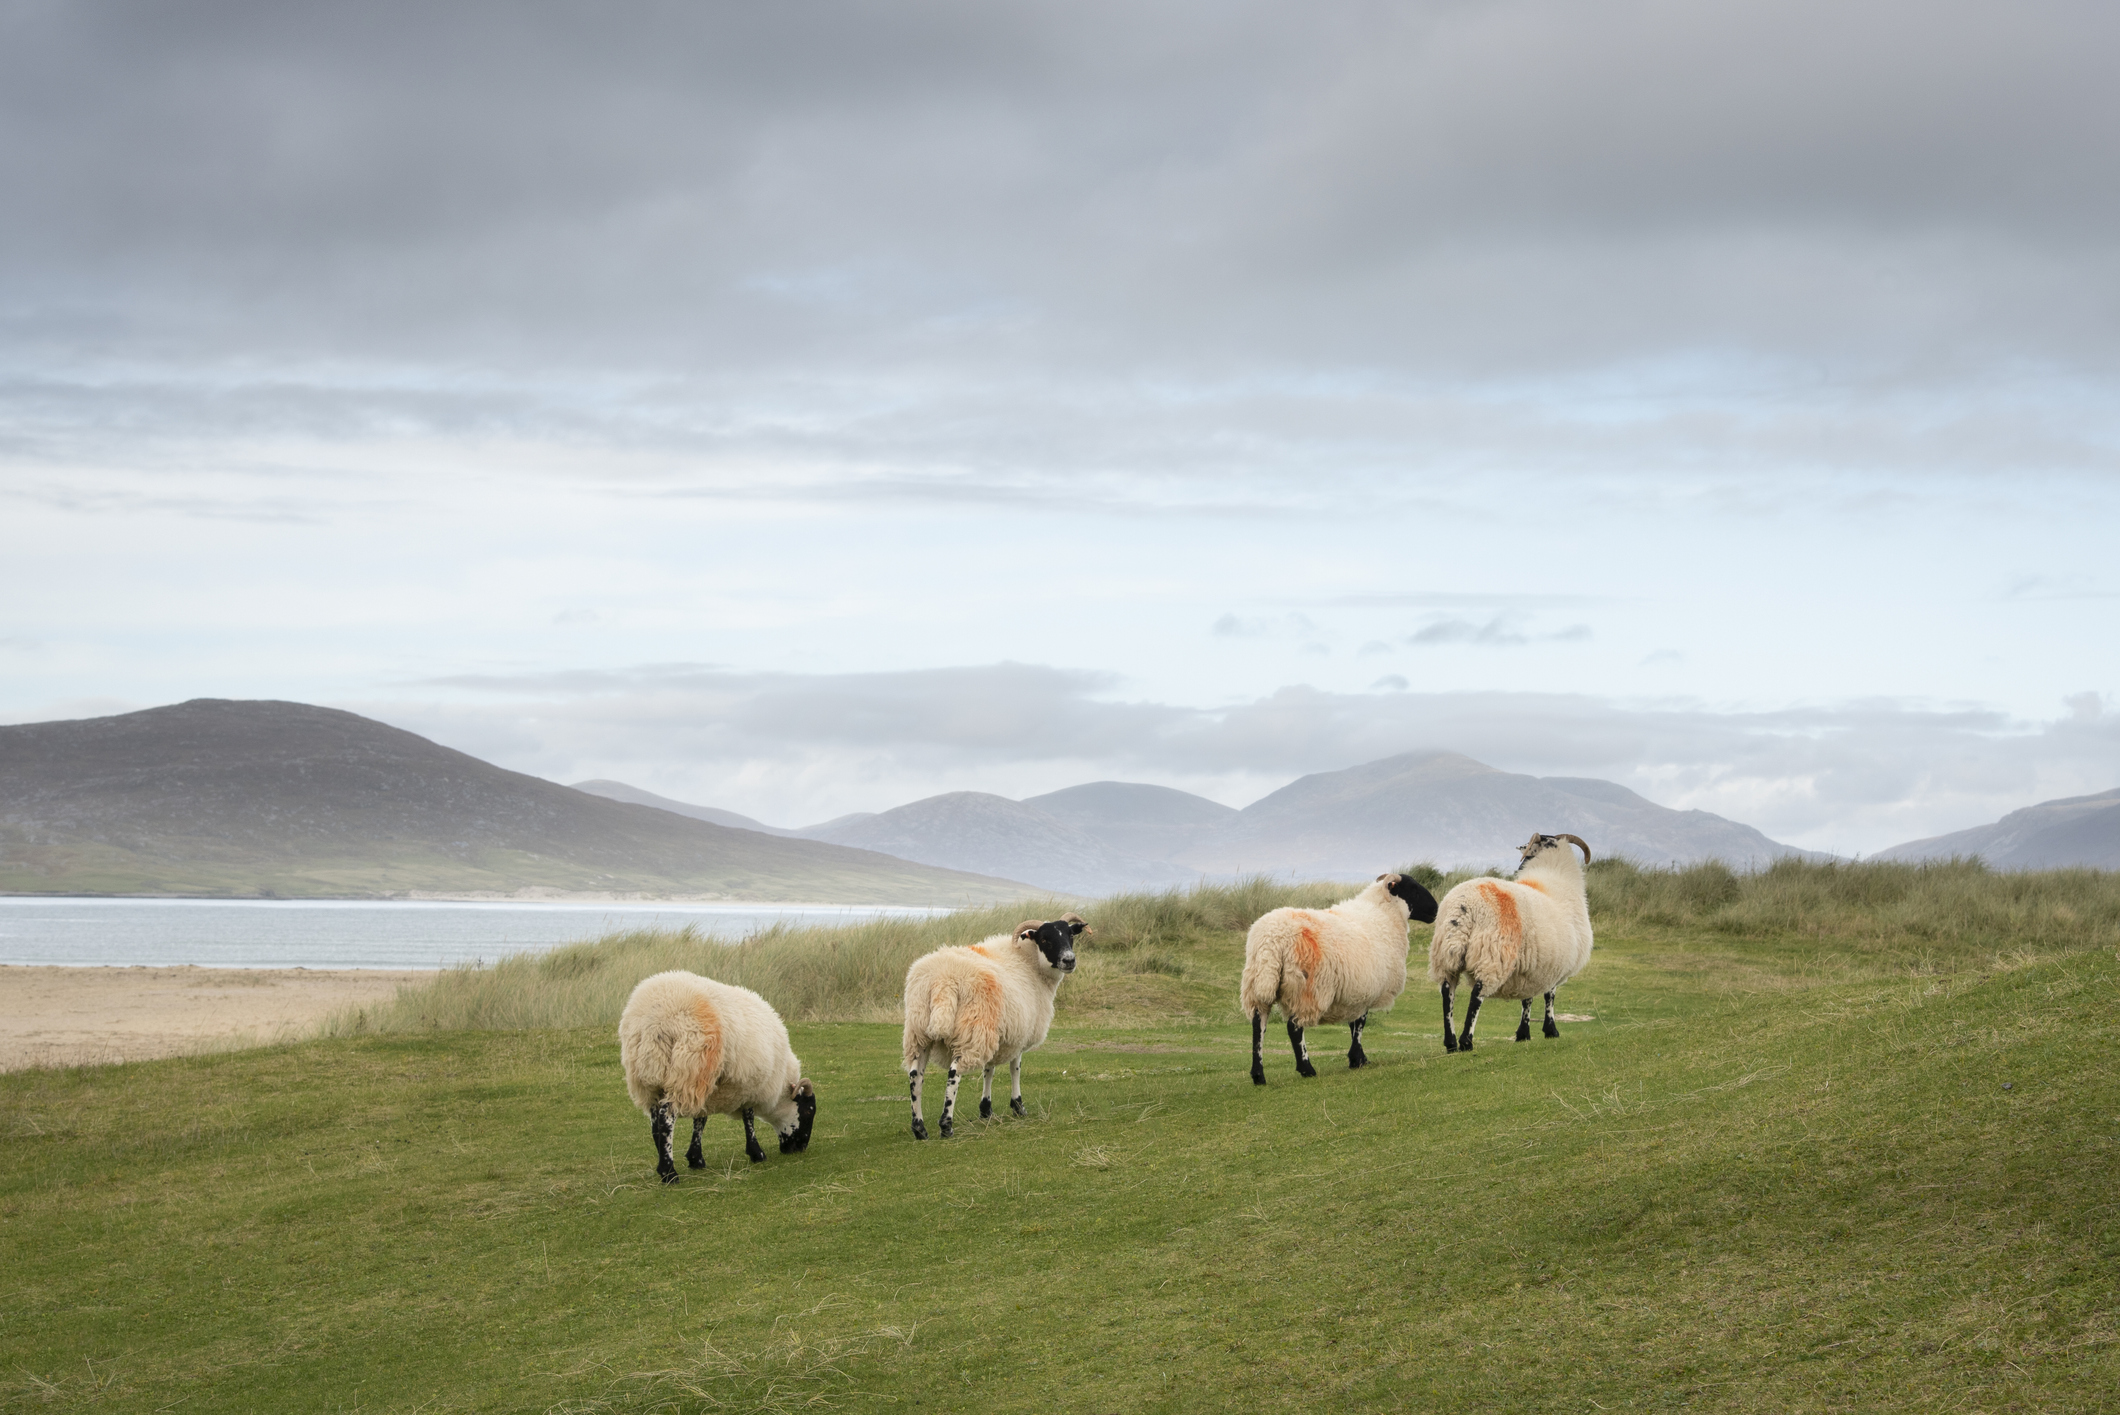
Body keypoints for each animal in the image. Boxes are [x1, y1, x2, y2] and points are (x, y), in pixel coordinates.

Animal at [619, 975, 814, 1188]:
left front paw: (696, 1159)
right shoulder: (749, 1085)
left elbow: (700, 1119)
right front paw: (757, 1153)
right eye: (808, 1110)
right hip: (689, 1070)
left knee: (655, 1123)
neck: (779, 1081)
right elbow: (748, 1117)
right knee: (665, 1120)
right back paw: (669, 1173)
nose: (801, 1148)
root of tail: (654, 1019)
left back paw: (663, 1162)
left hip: (649, 1076)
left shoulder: (711, 1086)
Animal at [1238, 874, 1441, 1086]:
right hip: (1307, 989)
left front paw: (1359, 1059)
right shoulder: (1365, 989)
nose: (1435, 910)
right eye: (1414, 889)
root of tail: (1272, 941)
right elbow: (1359, 1025)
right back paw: (1307, 1069)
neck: (1384, 914)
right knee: (1294, 1027)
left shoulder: (1355, 991)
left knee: (1258, 1027)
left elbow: (1354, 1024)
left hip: (1256, 985)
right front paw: (1357, 1059)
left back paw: (1258, 1075)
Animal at [1424, 835, 1594, 1056]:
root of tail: (1463, 907)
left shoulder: (1532, 967)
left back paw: (1451, 1043)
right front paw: (1550, 1030)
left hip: (1445, 954)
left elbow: (1528, 998)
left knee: (1447, 992)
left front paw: (1523, 1034)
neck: (1555, 878)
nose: (1518, 867)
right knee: (1477, 995)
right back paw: (1466, 1041)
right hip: (1492, 955)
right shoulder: (1553, 966)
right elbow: (1549, 996)